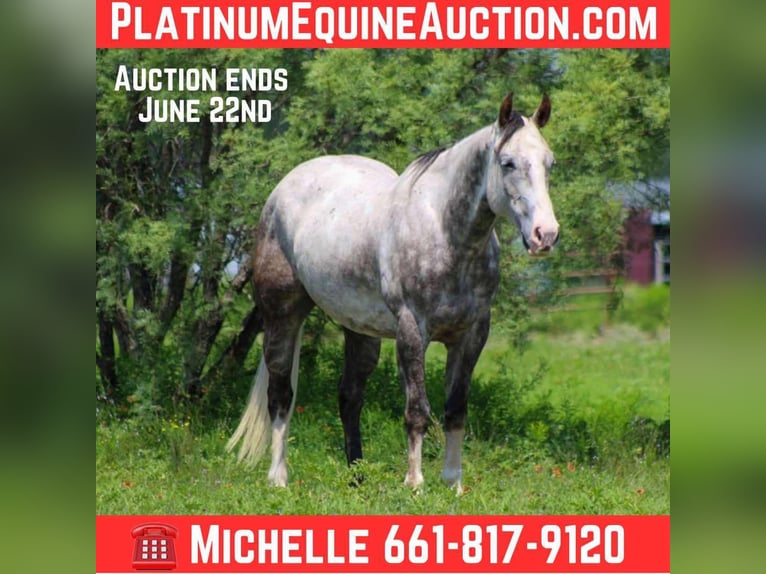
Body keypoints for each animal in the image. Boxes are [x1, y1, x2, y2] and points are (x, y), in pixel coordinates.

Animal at [227, 93, 559, 491]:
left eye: (549, 162)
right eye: (507, 163)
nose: (545, 235)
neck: (446, 234)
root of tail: (281, 191)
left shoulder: (472, 334)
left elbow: (455, 410)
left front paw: (453, 484)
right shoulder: (412, 331)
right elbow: (417, 410)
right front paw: (414, 483)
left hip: (358, 329)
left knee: (349, 397)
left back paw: (357, 479)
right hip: (283, 315)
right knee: (280, 395)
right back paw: (278, 478)